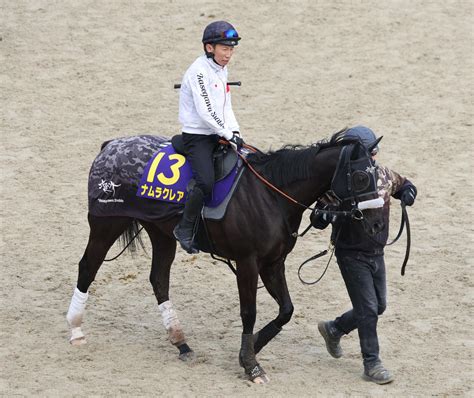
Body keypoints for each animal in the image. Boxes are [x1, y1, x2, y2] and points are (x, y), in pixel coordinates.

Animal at [65, 130, 370, 382]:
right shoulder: (248, 262)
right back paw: (76, 330)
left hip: (161, 233)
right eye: (362, 176)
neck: (270, 195)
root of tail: (110, 145)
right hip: (106, 224)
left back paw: (182, 343)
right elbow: (249, 312)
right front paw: (251, 365)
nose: (369, 221)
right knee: (87, 268)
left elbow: (286, 310)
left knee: (159, 280)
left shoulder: (273, 263)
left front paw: (253, 347)